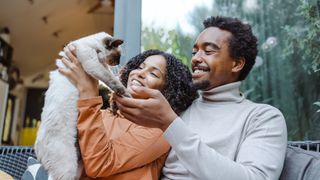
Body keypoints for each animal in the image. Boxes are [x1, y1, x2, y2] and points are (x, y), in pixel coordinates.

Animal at [35, 31, 130, 179]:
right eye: (117, 56)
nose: (118, 63)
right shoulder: (93, 65)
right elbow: (112, 80)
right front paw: (125, 93)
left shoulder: (100, 70)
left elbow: (110, 82)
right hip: (68, 168)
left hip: (77, 166)